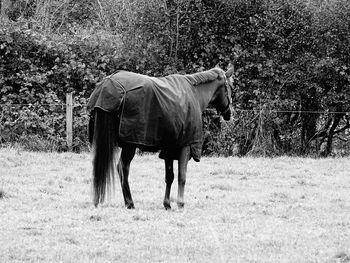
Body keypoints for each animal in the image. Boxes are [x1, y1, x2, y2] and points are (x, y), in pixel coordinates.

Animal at [87, 66, 235, 210]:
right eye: (229, 88)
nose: (229, 114)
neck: (194, 93)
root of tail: (109, 84)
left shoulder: (169, 148)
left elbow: (169, 177)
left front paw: (167, 204)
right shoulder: (185, 146)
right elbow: (182, 176)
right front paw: (180, 204)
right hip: (130, 144)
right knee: (123, 168)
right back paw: (130, 203)